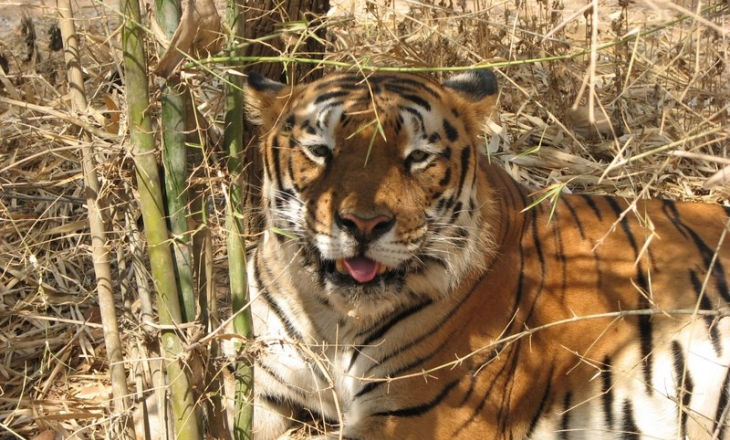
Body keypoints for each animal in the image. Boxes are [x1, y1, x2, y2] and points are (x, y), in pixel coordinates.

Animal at [243, 68, 730, 440]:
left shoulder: (419, 416)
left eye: (418, 157)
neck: (333, 321)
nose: (364, 224)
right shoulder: (263, 384)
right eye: (319, 151)